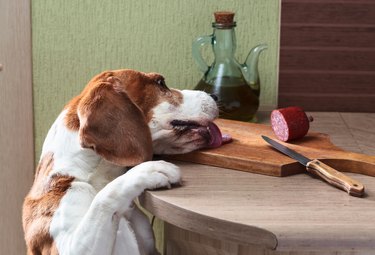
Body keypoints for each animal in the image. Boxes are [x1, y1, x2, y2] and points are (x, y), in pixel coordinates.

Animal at [23, 68, 223, 254]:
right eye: (161, 83)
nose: (215, 95)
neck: (93, 178)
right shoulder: (71, 247)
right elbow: (104, 197)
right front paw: (148, 170)